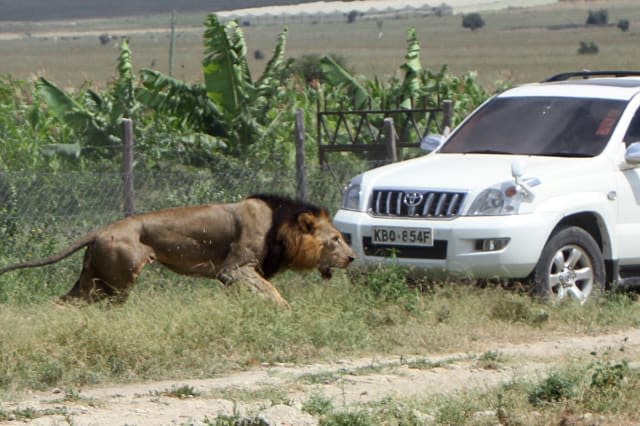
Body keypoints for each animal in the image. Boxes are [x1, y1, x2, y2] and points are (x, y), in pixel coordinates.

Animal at [0, 195, 356, 308]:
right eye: (336, 239)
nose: (352, 258)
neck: (280, 228)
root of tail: (100, 230)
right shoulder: (234, 269)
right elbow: (271, 292)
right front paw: (285, 312)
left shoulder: (232, 278)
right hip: (118, 282)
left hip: (94, 280)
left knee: (63, 302)